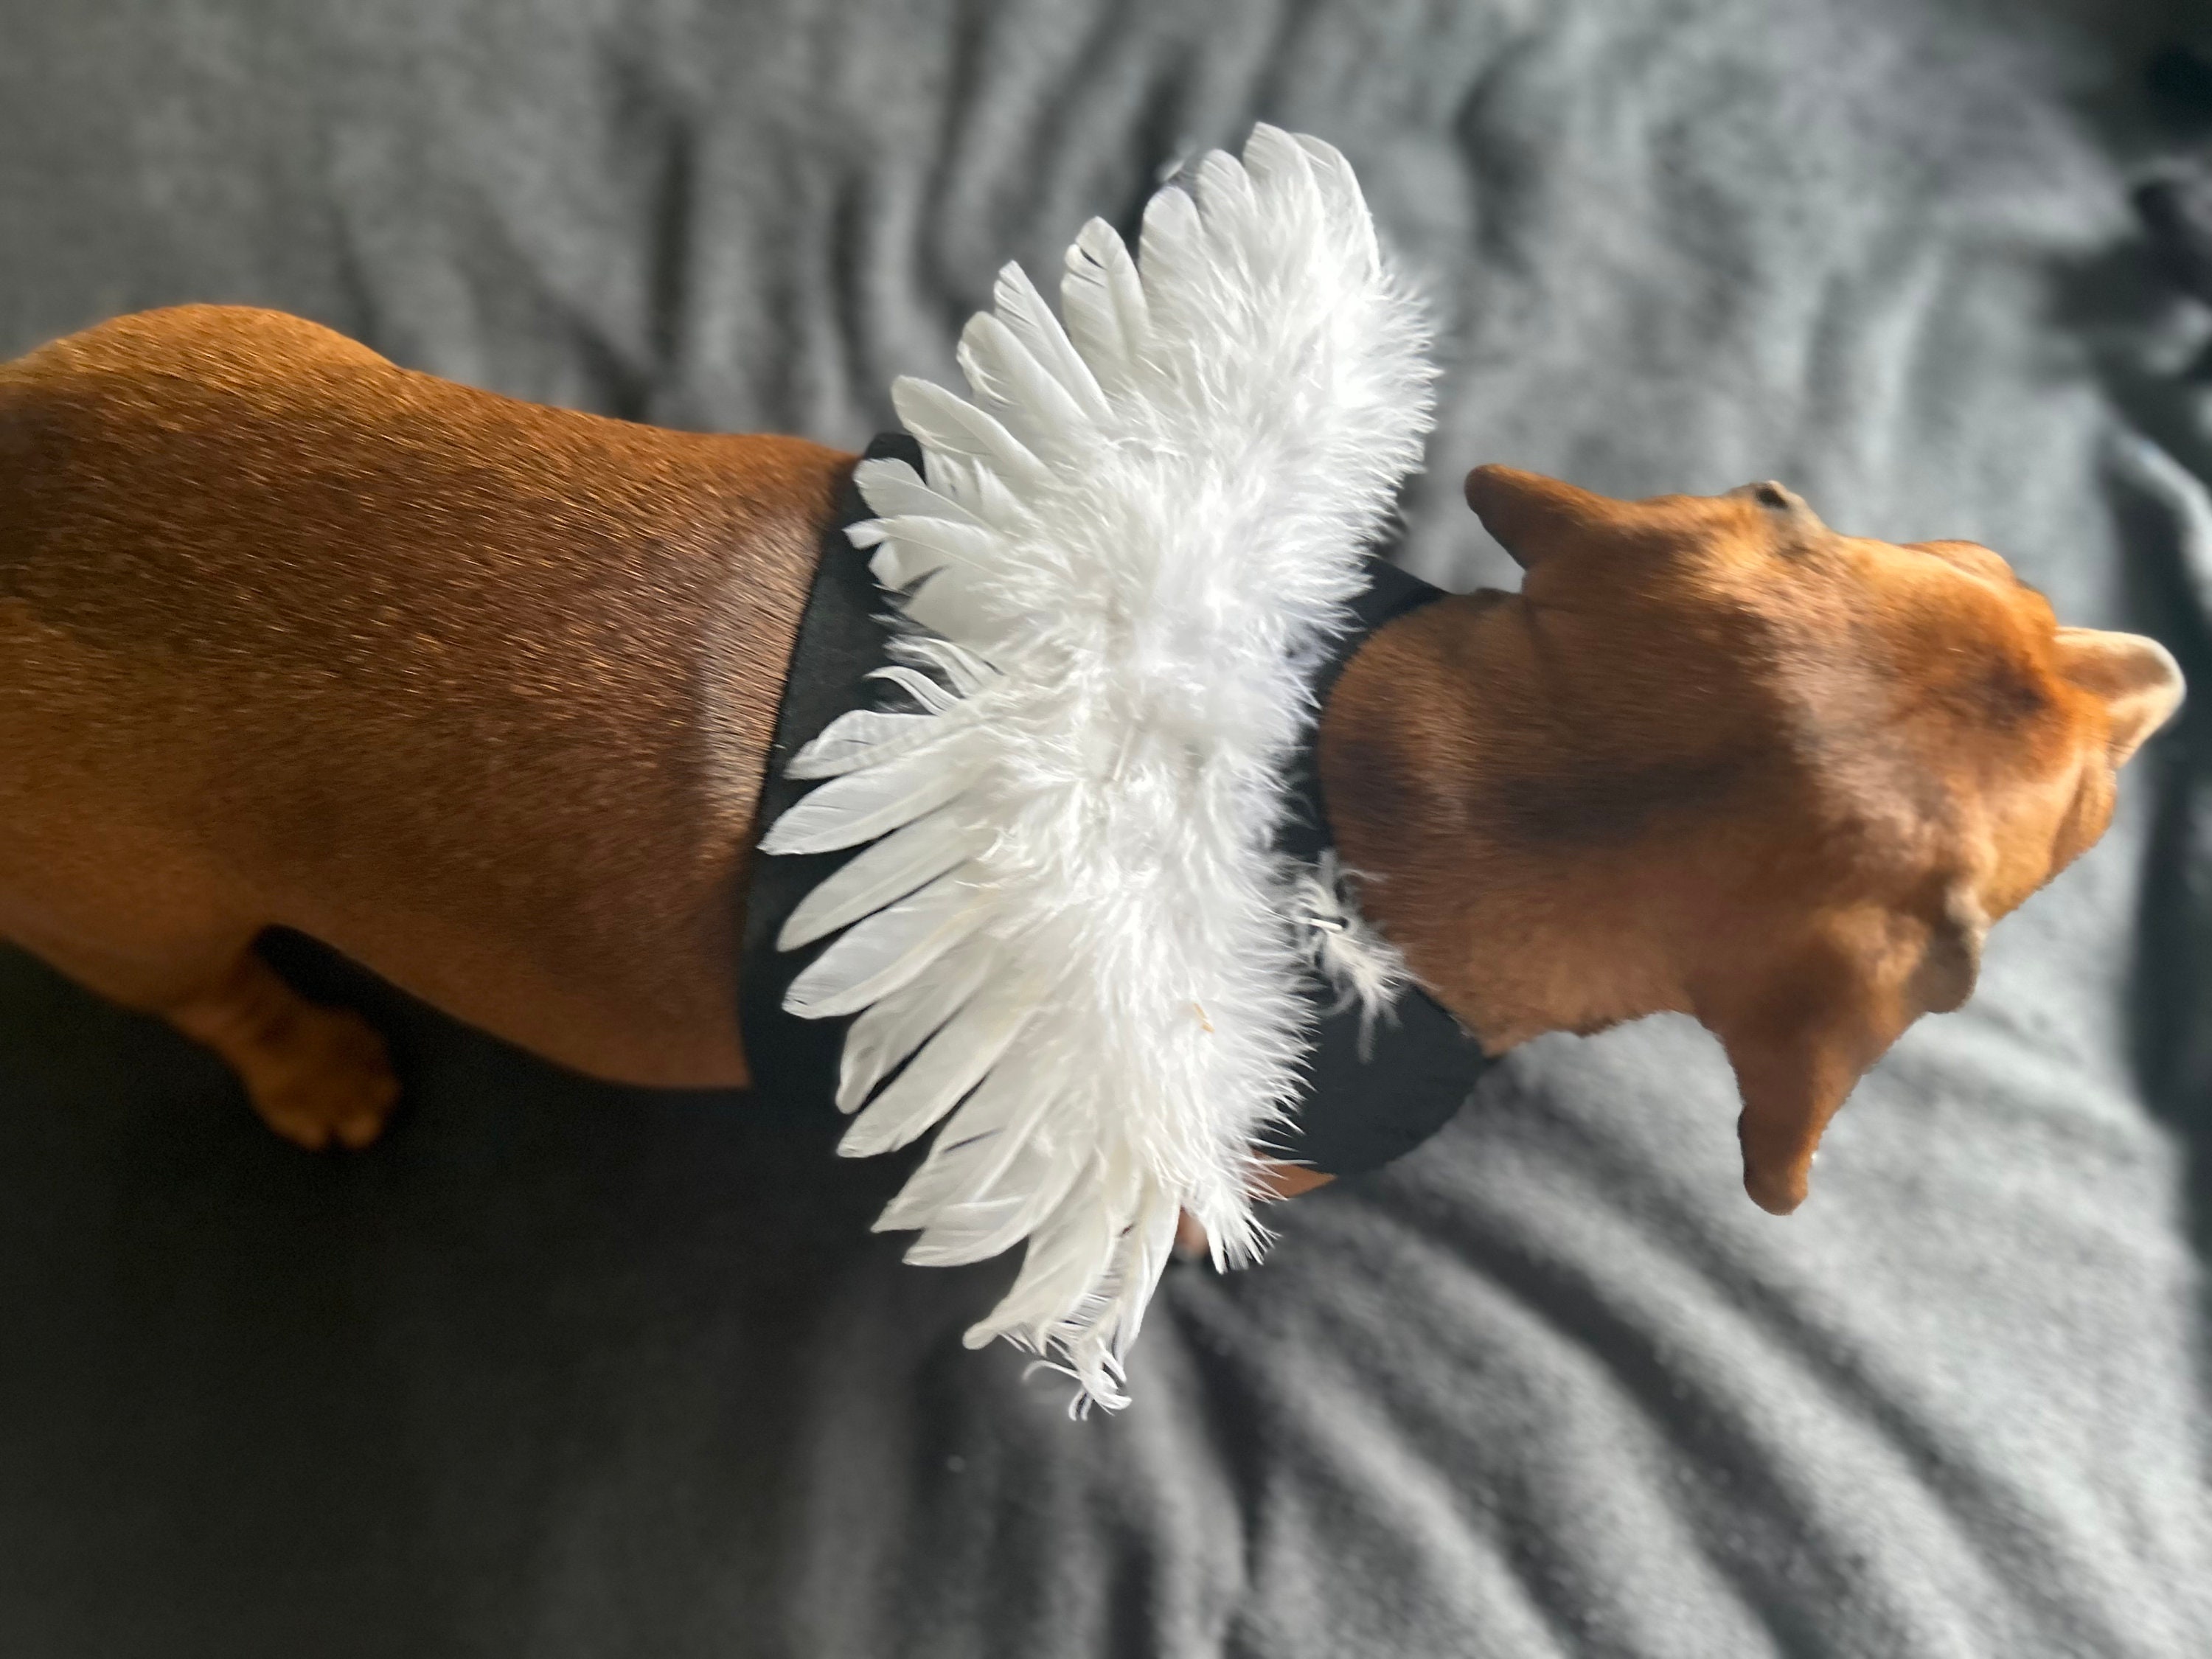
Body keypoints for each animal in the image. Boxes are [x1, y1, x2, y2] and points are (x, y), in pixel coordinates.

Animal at [0, 305, 2177, 1212]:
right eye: (2082, 824)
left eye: (2001, 575)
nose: (2164, 665)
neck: (1373, 779)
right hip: (131, 903)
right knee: (201, 989)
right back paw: (310, 1060)